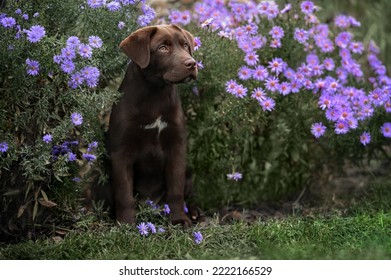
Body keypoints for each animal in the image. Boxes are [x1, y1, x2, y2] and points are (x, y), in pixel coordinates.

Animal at [106, 24, 198, 228]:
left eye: (185, 45)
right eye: (163, 48)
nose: (192, 63)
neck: (156, 92)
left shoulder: (177, 147)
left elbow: (176, 189)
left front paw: (178, 219)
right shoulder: (120, 152)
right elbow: (124, 194)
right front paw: (126, 224)